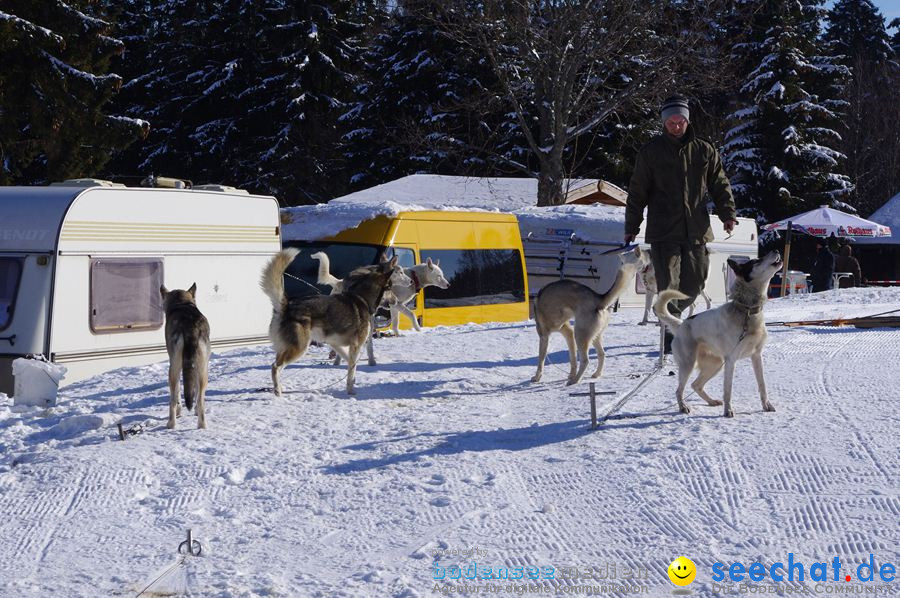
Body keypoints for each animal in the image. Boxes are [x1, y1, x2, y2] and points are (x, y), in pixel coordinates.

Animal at [160, 284, 211, 428]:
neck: (182, 303)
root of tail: (190, 328)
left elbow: (177, 394)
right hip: (203, 370)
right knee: (200, 400)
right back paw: (202, 426)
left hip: (173, 369)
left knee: (173, 399)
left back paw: (171, 424)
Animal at [262, 250, 400, 396]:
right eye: (390, 288)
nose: (397, 301)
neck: (363, 298)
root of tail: (286, 306)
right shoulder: (356, 345)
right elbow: (352, 369)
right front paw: (350, 390)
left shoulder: (336, 344)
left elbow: (351, 364)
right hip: (299, 348)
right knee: (275, 367)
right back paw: (277, 391)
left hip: (287, 348)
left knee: (277, 365)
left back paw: (280, 387)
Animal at [532, 246, 644, 386]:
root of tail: (599, 299)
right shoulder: (568, 333)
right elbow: (573, 359)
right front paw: (571, 374)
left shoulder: (544, 336)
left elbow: (541, 360)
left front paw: (537, 377)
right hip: (592, 336)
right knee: (601, 354)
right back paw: (596, 374)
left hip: (580, 335)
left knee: (585, 360)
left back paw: (575, 381)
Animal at [652, 252, 784, 418]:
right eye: (756, 261)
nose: (776, 250)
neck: (747, 312)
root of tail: (681, 324)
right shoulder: (731, 360)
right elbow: (728, 390)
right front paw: (728, 410)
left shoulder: (757, 356)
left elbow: (762, 385)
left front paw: (766, 405)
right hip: (688, 365)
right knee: (679, 390)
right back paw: (683, 407)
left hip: (715, 365)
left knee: (696, 385)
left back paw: (711, 401)